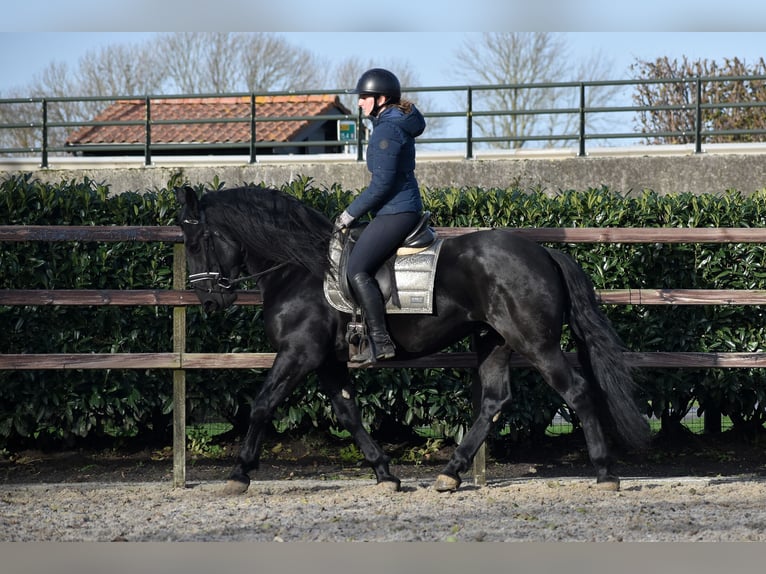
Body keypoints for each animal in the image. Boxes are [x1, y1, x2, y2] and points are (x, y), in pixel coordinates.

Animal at [177, 186, 652, 496]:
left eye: (197, 240)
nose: (209, 299)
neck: (299, 269)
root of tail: (543, 252)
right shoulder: (327, 361)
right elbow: (348, 414)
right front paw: (386, 473)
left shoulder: (299, 353)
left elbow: (262, 404)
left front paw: (239, 473)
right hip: (494, 341)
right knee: (494, 402)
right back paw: (451, 473)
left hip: (536, 342)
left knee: (576, 390)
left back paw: (605, 473)